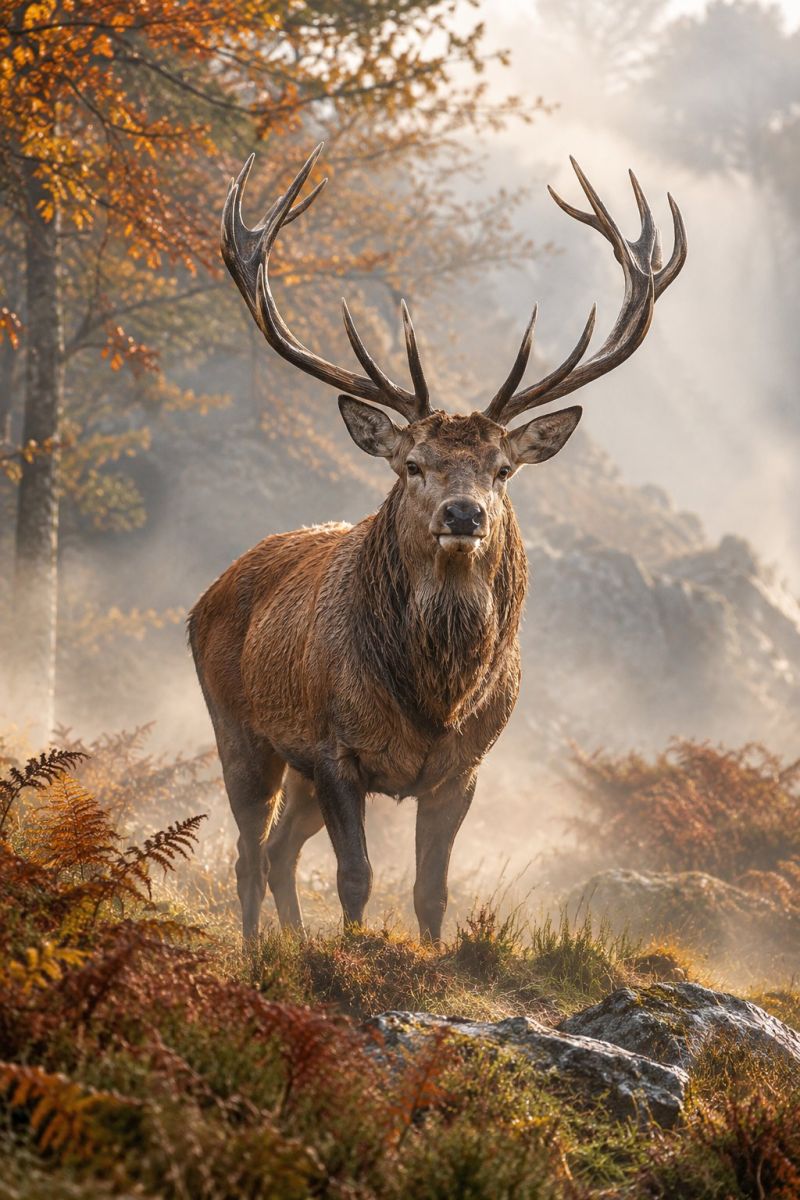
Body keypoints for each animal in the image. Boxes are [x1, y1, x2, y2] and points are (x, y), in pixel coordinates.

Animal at [188, 145, 686, 942]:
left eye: (503, 469)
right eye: (413, 464)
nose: (463, 513)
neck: (435, 701)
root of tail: (206, 595)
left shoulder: (465, 767)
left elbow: (432, 891)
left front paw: (417, 950)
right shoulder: (336, 750)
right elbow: (356, 878)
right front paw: (349, 956)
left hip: (295, 768)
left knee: (277, 851)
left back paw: (291, 944)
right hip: (241, 729)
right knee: (245, 851)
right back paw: (260, 951)